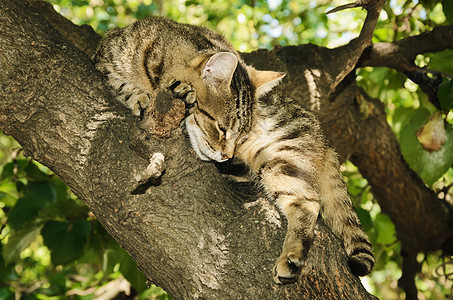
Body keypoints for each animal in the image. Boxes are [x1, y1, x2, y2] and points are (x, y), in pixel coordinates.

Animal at [92, 16, 374, 284]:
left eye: (241, 136)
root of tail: (324, 139)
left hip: (280, 160)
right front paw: (140, 96)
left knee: (308, 202)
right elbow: (118, 82)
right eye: (222, 128)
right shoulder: (105, 56)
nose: (228, 154)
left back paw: (291, 258)